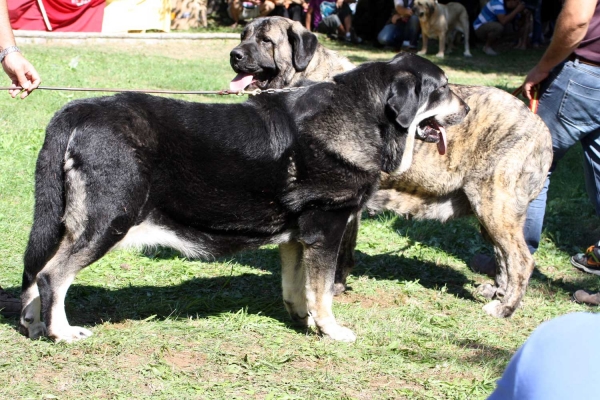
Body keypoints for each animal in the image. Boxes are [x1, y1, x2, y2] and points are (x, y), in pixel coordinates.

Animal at [19, 52, 468, 344]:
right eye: (443, 89)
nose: (465, 108)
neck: (363, 114)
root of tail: (77, 112)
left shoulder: (296, 238)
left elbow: (298, 286)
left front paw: (303, 320)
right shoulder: (326, 228)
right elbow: (323, 290)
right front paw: (331, 330)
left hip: (71, 224)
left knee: (38, 273)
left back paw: (34, 324)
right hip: (108, 221)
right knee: (53, 276)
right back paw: (62, 333)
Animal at [231, 17, 552, 318]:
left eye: (266, 41)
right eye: (244, 35)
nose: (235, 55)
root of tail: (541, 127)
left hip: (495, 204)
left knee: (521, 260)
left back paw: (505, 307)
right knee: (504, 257)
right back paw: (499, 292)